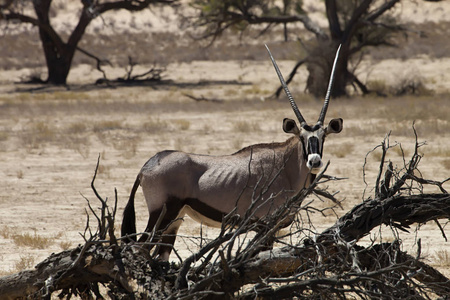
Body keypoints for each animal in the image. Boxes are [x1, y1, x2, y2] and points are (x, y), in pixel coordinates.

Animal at [121, 44, 342, 260]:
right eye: (302, 137)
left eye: (323, 136)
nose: (314, 161)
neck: (285, 167)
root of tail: (145, 167)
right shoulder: (265, 226)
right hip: (161, 215)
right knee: (139, 248)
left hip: (175, 219)